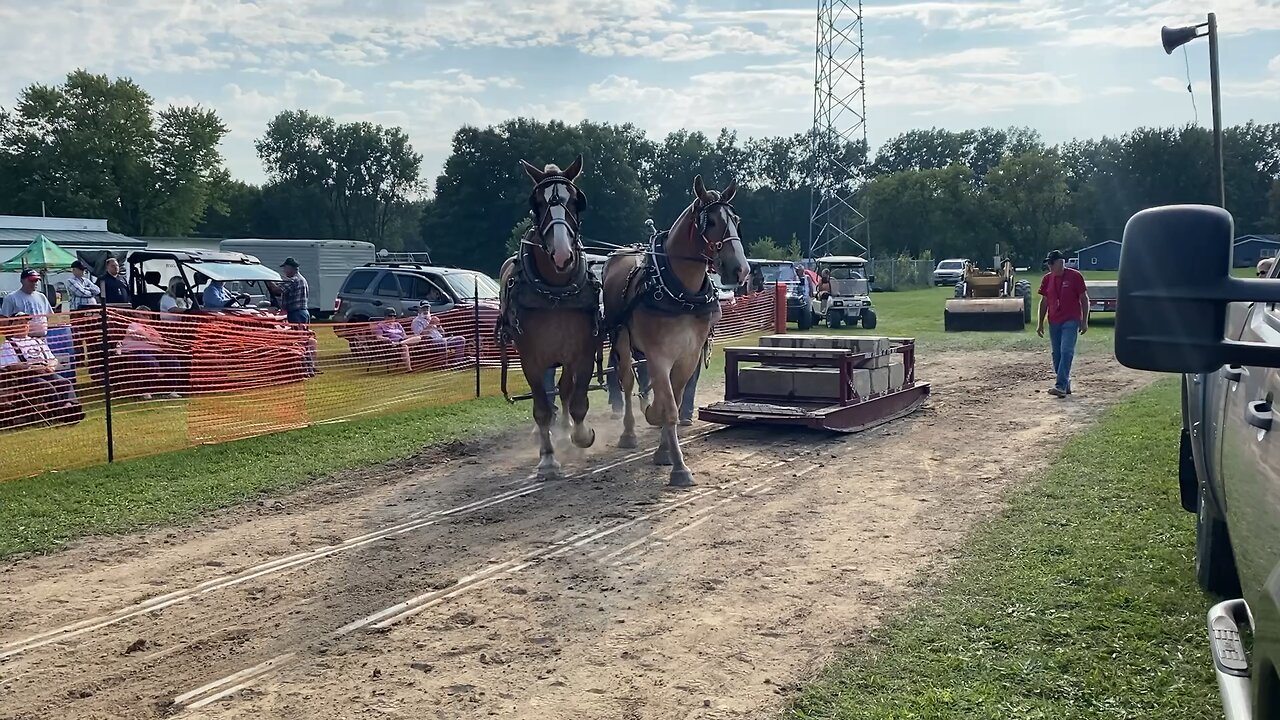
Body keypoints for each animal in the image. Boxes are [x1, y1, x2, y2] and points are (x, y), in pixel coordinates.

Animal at [496, 152, 601, 476]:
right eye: (537, 204)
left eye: (576, 201)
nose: (562, 254)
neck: (556, 292)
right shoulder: (530, 358)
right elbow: (541, 408)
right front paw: (547, 457)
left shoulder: (583, 352)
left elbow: (577, 400)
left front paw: (580, 435)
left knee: (564, 391)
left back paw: (566, 428)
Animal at [601, 175, 747, 484]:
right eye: (711, 222)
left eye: (736, 220)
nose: (741, 270)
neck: (679, 292)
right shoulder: (660, 356)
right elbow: (668, 406)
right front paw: (679, 467)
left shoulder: (688, 356)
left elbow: (676, 400)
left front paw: (663, 451)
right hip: (620, 339)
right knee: (627, 382)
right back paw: (628, 433)